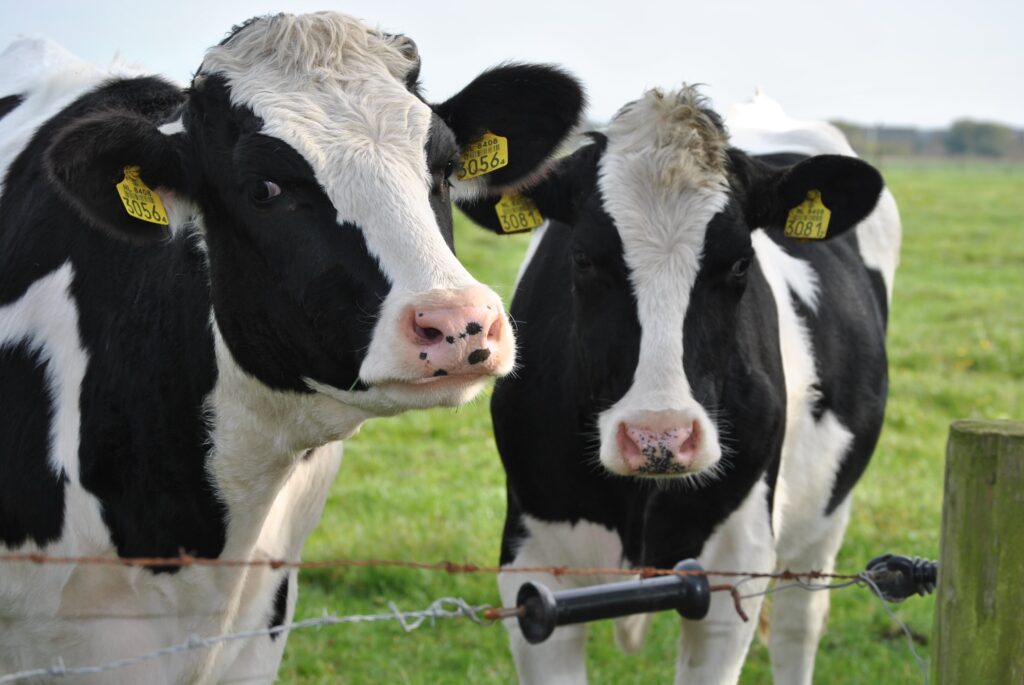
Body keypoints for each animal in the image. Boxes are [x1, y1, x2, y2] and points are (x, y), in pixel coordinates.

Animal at [459, 86, 901, 684]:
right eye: (583, 257)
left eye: (739, 263)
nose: (659, 438)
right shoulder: (532, 567)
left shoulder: (732, 572)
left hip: (826, 518)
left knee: (798, 625)